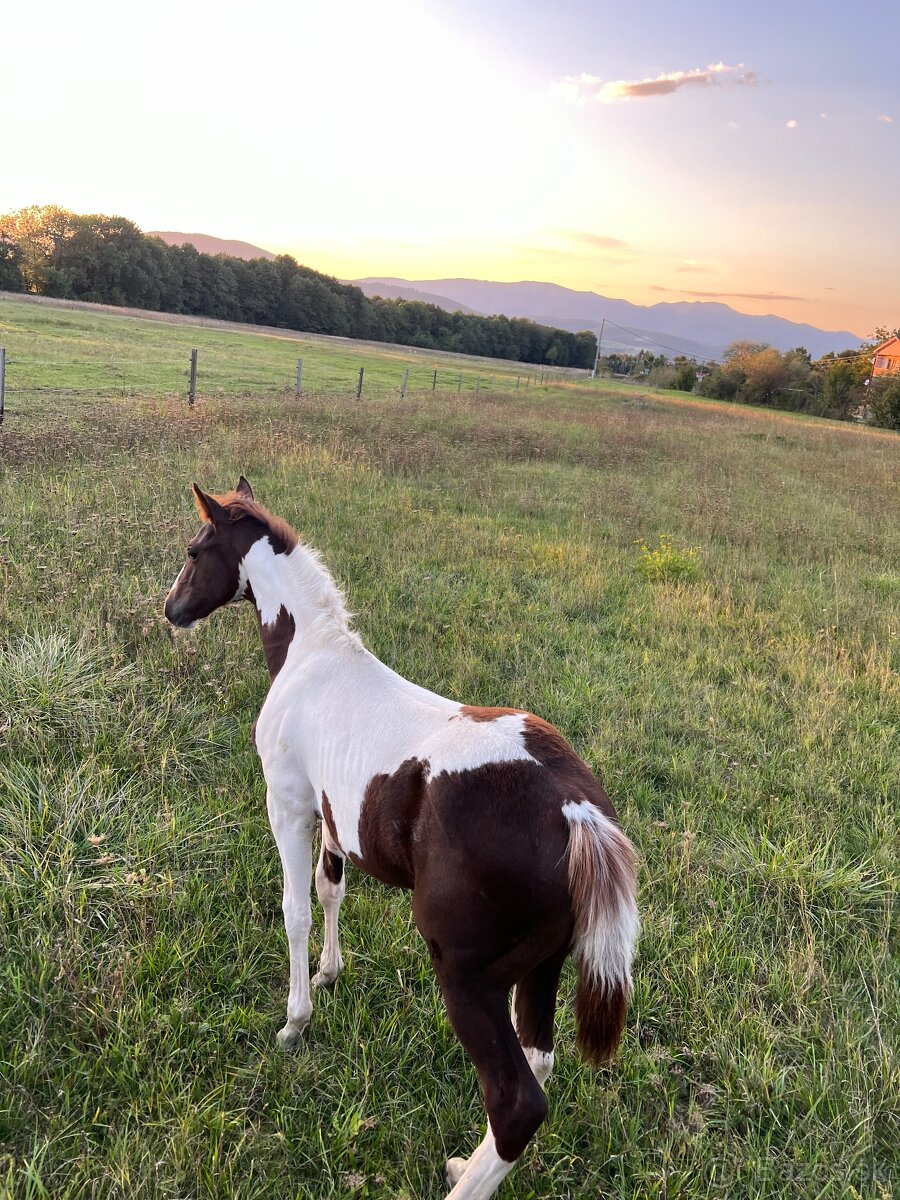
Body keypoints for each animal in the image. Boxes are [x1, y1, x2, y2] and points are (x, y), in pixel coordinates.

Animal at [164, 477, 643, 1200]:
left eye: (195, 550)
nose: (172, 611)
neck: (311, 658)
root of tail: (578, 812)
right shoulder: (335, 817)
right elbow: (330, 892)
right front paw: (331, 973)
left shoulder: (289, 804)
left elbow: (296, 909)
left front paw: (295, 1021)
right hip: (542, 967)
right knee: (539, 1060)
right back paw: (465, 1163)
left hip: (467, 976)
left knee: (517, 1100)